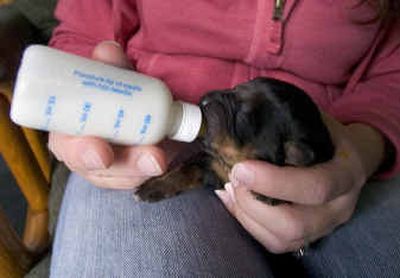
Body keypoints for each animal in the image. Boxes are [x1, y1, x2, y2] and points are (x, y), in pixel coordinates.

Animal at [134, 77, 334, 203]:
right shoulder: (209, 162)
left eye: (243, 119)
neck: (230, 164)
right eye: (235, 87)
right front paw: (153, 186)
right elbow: (185, 169)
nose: (205, 99)